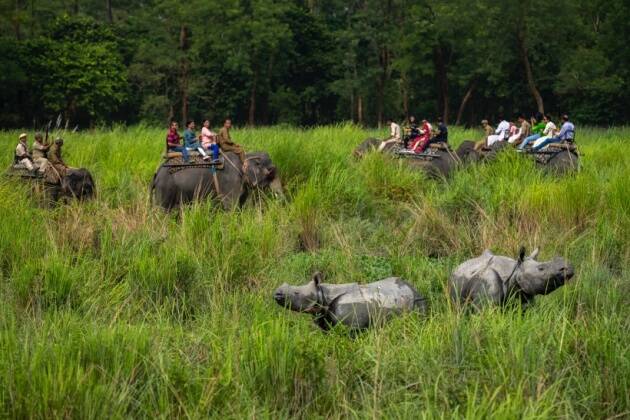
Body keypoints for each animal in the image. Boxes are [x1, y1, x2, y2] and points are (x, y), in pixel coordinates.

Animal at [151, 151, 284, 210]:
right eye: (270, 172)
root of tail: (156, 174)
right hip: (165, 189)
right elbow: (230, 206)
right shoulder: (230, 182)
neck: (245, 156)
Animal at [272, 272, 430, 332]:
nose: (277, 294)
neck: (323, 294)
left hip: (416, 302)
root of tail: (415, 289)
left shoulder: (352, 326)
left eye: (296, 293)